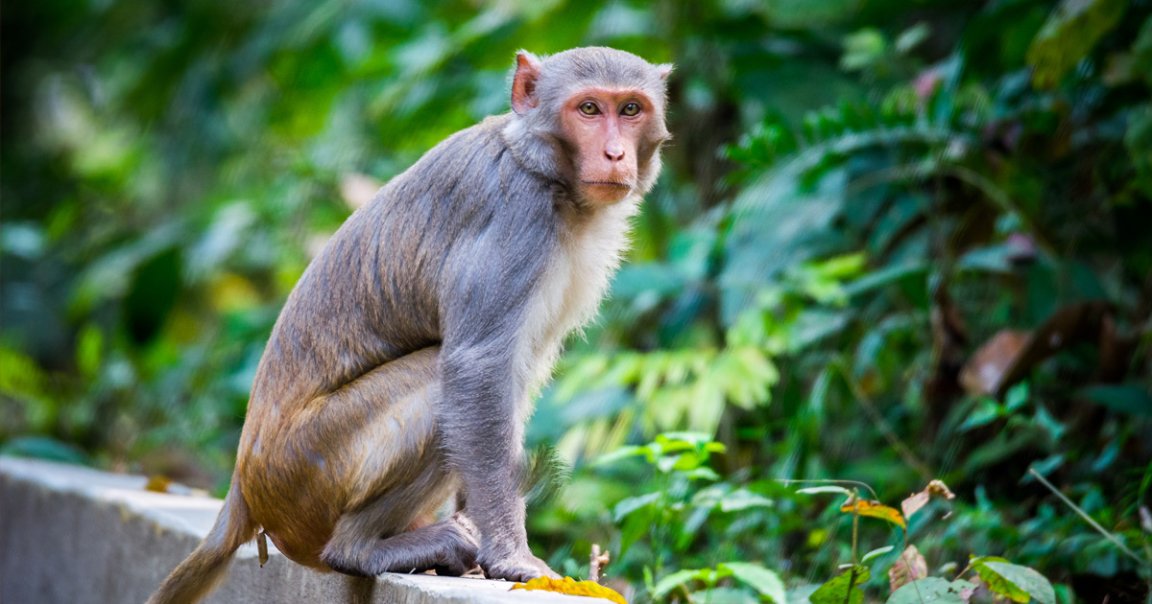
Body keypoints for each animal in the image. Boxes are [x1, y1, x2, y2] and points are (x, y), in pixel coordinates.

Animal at [148, 47, 671, 604]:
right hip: (311, 471)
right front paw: (511, 554)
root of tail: (243, 489)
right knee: (434, 380)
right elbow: (478, 368)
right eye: (589, 109)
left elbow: (515, 376)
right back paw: (360, 550)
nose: (615, 154)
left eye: (631, 109)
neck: (543, 169)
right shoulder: (517, 219)